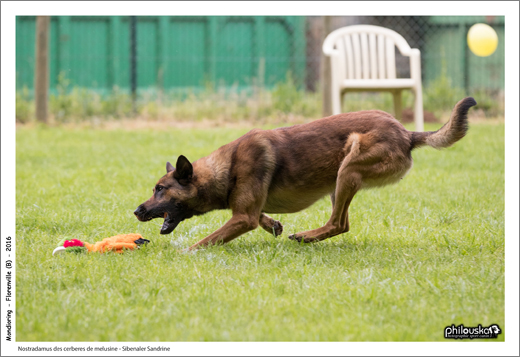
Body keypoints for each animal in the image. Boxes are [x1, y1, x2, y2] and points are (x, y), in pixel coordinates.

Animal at [134, 96, 476, 249]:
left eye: (160, 189)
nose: (136, 211)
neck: (226, 168)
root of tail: (407, 133)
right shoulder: (246, 210)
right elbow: (260, 216)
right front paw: (273, 225)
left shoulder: (241, 218)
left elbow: (207, 239)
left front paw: (184, 252)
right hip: (341, 179)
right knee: (342, 223)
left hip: (349, 165)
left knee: (338, 223)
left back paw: (306, 236)